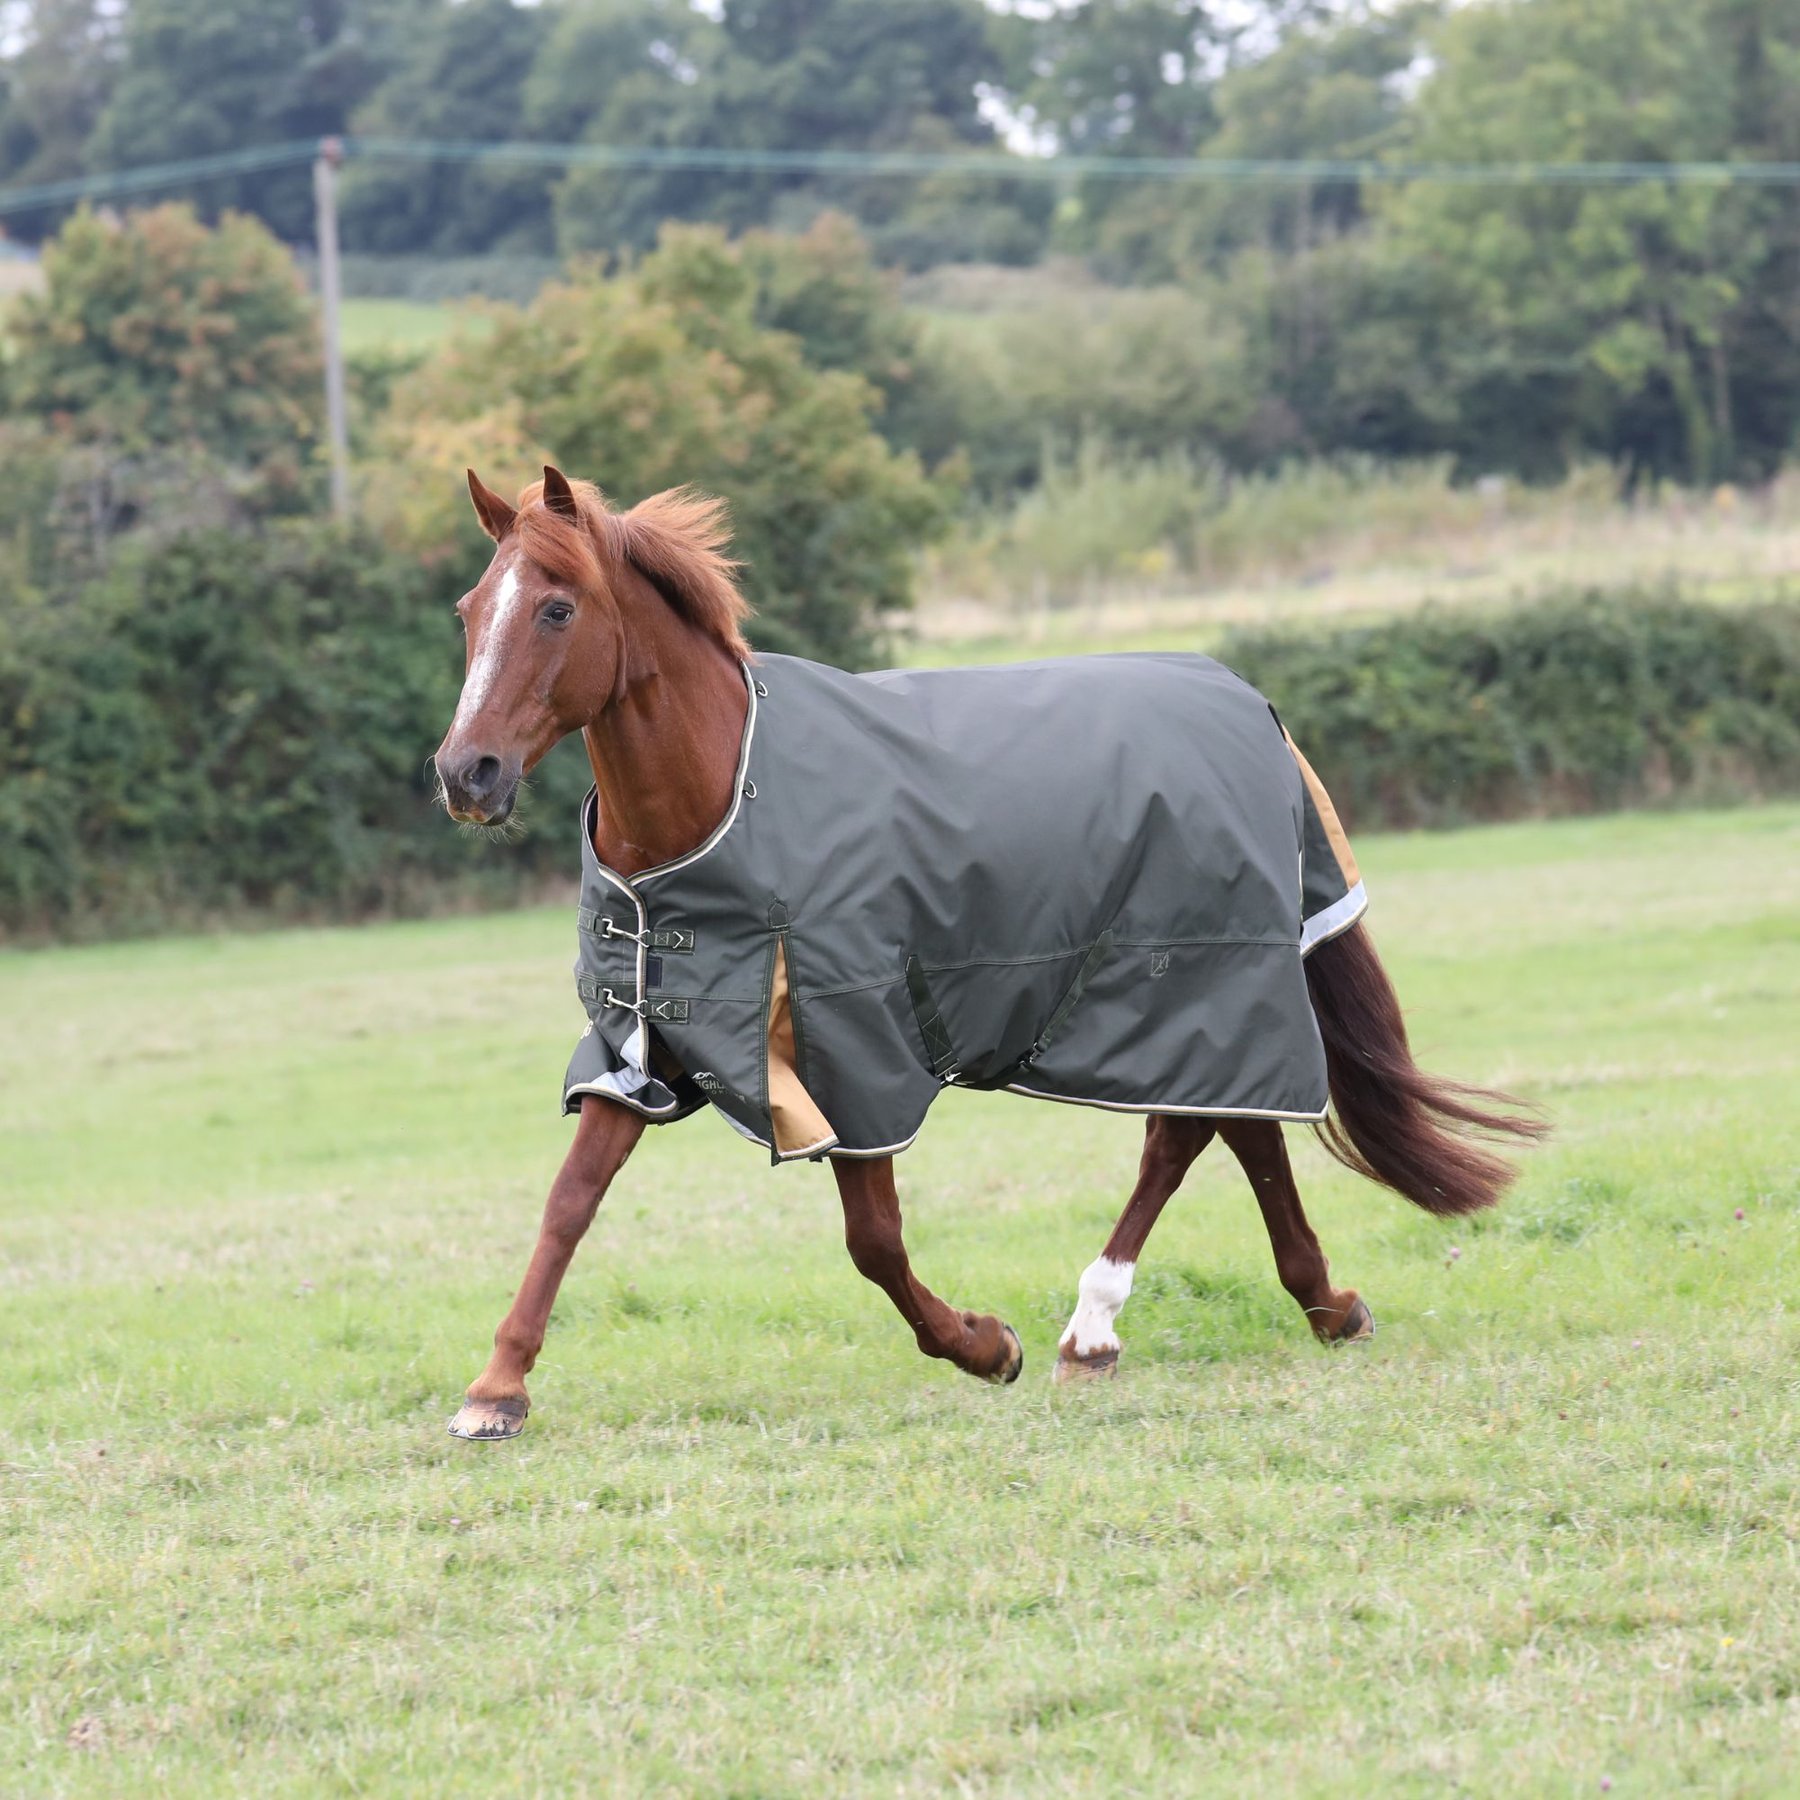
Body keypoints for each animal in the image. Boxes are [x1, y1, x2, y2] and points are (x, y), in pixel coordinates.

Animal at [434, 465, 1542, 1440]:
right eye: (468, 610)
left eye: (557, 610)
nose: (465, 773)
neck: (719, 806)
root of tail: (1245, 700)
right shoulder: (646, 1046)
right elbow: (569, 1203)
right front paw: (497, 1390)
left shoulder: (854, 1046)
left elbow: (873, 1242)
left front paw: (983, 1344)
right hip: (1199, 992)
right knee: (1237, 1126)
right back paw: (1313, 1307)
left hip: (1183, 977)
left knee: (1186, 1134)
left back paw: (1096, 1328)